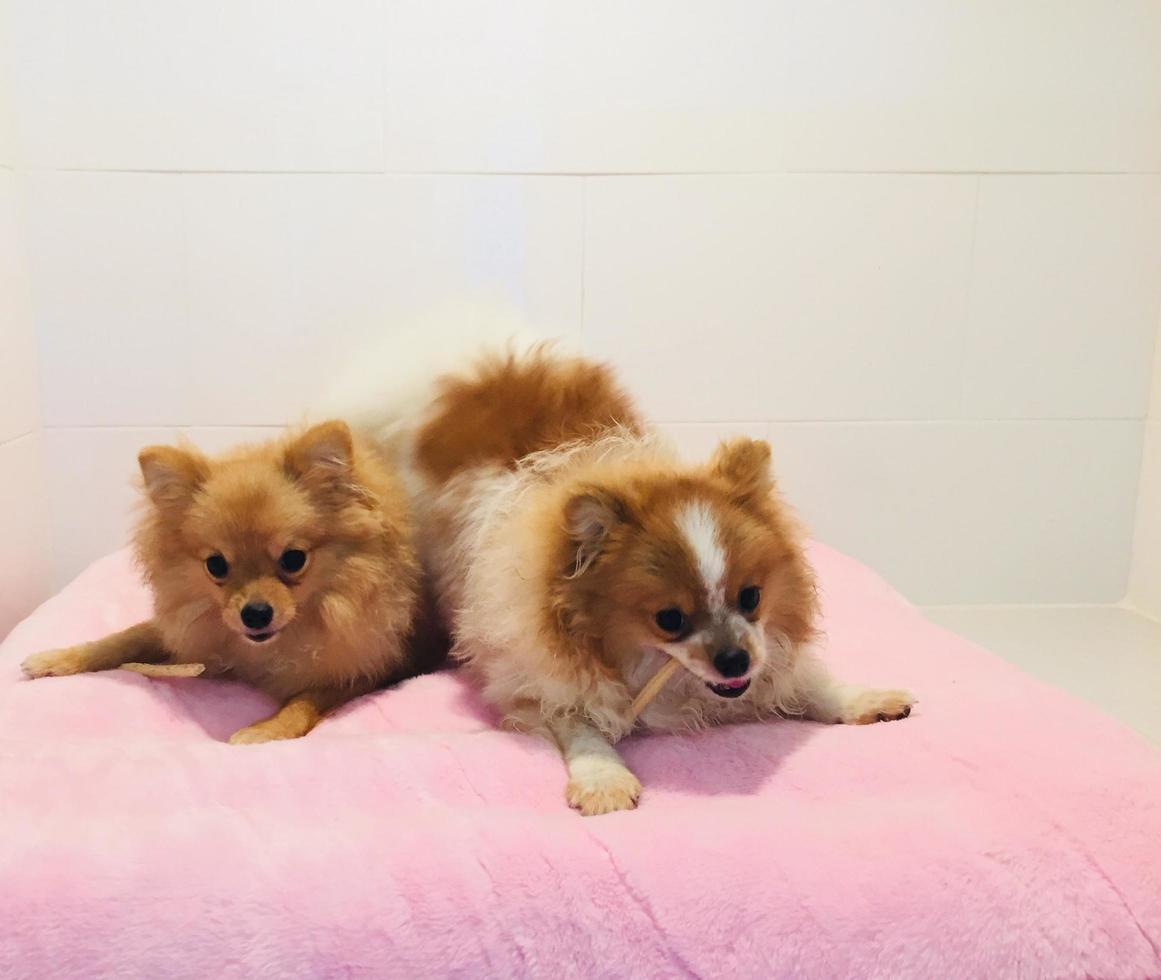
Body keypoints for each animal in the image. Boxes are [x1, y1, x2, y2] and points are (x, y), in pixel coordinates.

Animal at [20, 420, 431, 743]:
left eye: (293, 559)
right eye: (216, 565)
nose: (255, 613)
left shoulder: (364, 670)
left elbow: (304, 700)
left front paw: (266, 729)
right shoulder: (185, 631)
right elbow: (123, 638)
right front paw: (57, 658)